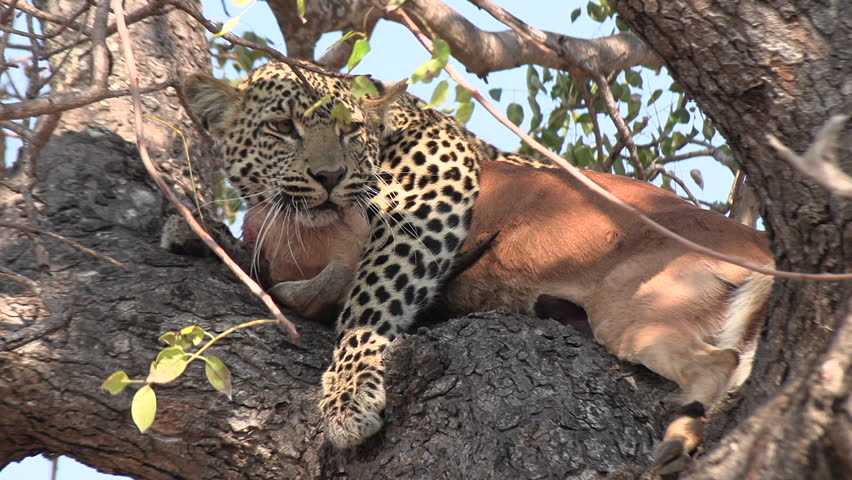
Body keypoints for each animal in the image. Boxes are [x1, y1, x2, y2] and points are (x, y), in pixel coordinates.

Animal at [180, 61, 773, 473]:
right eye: (281, 127)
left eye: (350, 132)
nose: (329, 176)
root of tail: (765, 250)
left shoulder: (425, 206)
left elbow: (365, 300)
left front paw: (348, 392)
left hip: (636, 306)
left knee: (717, 363)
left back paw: (675, 435)